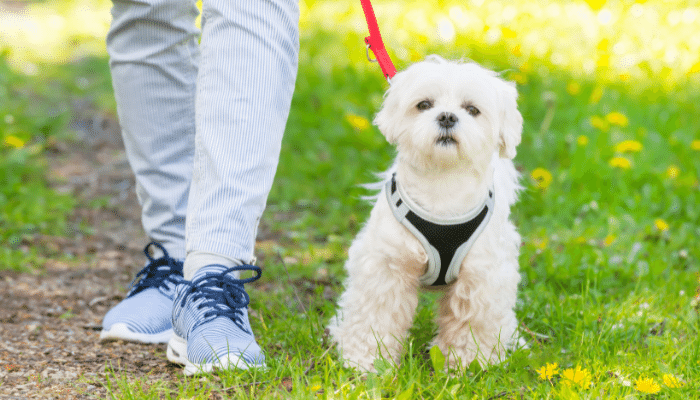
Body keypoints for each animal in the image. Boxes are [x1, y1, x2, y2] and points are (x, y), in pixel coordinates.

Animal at [330, 55, 524, 372]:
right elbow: (375, 318)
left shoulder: (482, 277)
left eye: (472, 110)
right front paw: (368, 362)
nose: (447, 116)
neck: (442, 187)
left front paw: (466, 364)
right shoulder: (386, 267)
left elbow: (471, 323)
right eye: (424, 104)